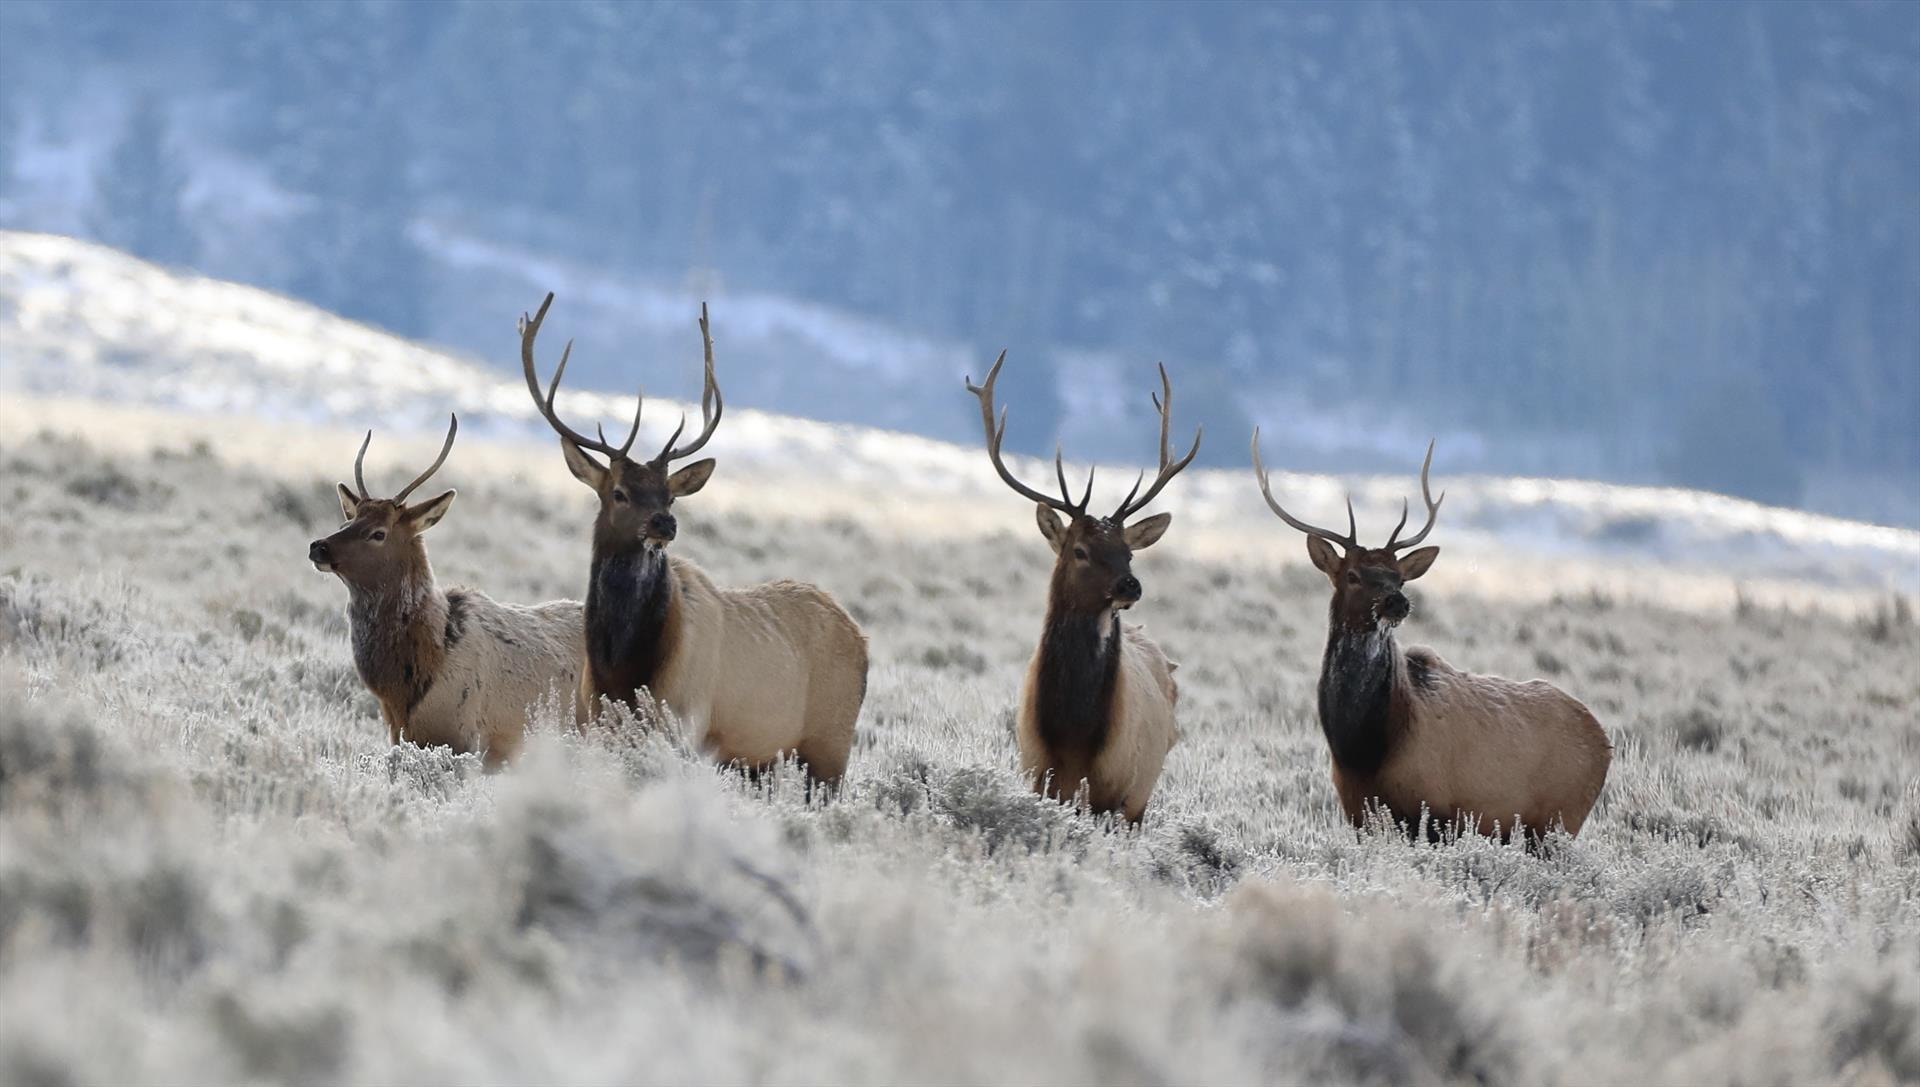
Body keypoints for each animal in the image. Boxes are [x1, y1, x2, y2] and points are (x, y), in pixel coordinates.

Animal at [519, 292, 868, 787]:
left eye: (669, 495)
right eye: (619, 492)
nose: (665, 524)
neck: (620, 668)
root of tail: (862, 639)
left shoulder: (685, 722)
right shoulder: (591, 722)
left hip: (830, 744)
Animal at [964, 351, 1200, 823]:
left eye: (1129, 553)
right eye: (1080, 550)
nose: (1131, 585)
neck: (1073, 738)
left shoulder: (1121, 793)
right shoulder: (1037, 773)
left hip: (1143, 793)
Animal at [1250, 434, 1612, 838]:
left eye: (1399, 578)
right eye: (1353, 575)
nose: (1396, 601)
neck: (1364, 750)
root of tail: (1605, 741)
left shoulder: (1436, 809)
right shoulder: (1356, 811)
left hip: (1560, 819)